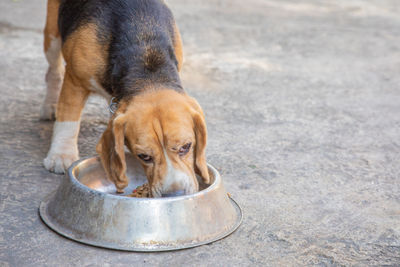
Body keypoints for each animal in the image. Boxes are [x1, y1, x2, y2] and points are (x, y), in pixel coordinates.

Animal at [41, 0, 209, 197]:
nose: (174, 195)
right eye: (144, 157)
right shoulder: (75, 81)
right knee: (53, 70)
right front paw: (61, 155)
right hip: (52, 38)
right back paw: (51, 105)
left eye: (186, 147)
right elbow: (68, 121)